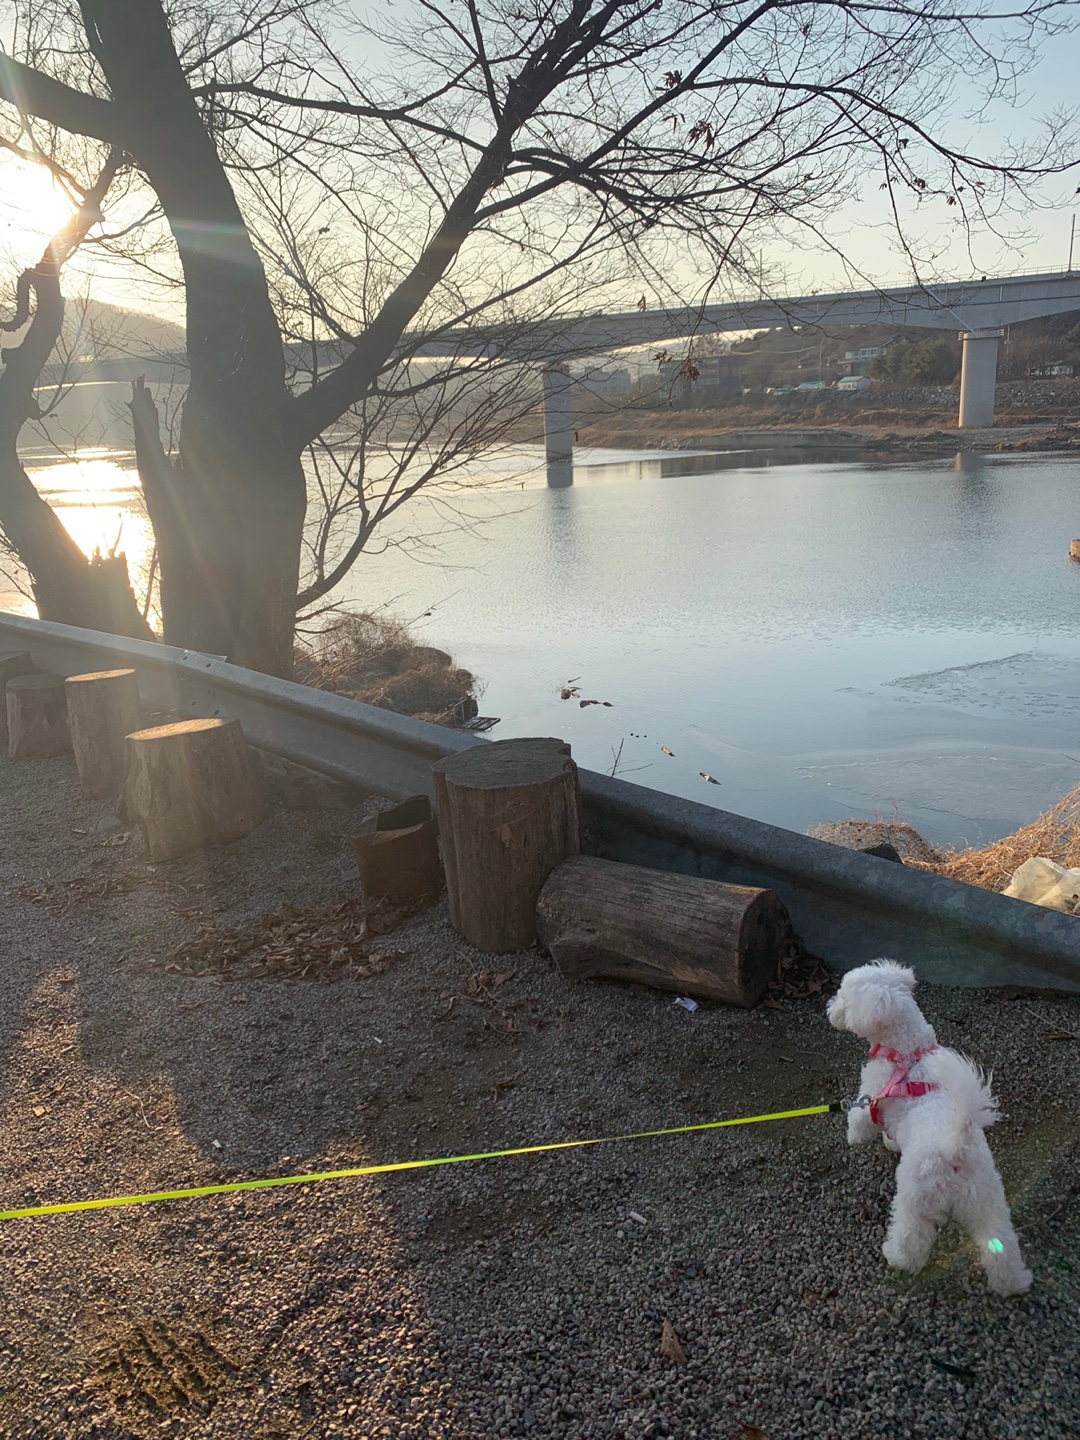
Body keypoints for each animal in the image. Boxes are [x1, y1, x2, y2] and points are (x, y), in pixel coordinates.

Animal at [829, 961, 1031, 1301]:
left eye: (844, 997)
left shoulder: (872, 1092)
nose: (830, 1010)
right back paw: (1013, 1284)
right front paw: (891, 1143)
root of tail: (956, 1148)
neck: (906, 1051)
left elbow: (861, 1118)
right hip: (986, 1198)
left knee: (911, 1235)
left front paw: (856, 1138)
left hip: (916, 1196)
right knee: (1000, 1243)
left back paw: (897, 1258)